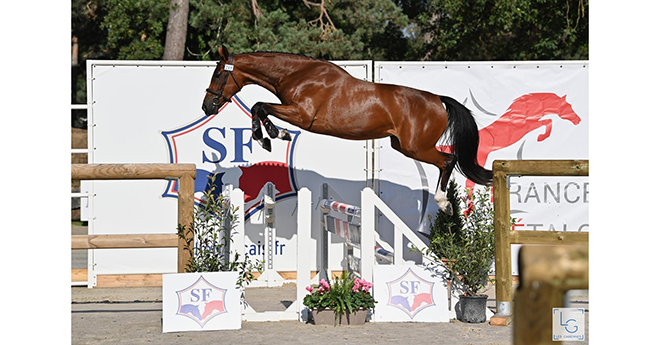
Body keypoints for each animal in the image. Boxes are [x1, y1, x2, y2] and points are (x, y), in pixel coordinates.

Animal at [204, 45, 492, 212]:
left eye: (218, 74)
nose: (207, 107)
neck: (296, 74)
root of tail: (438, 100)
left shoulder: (301, 114)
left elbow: (260, 106)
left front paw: (272, 136)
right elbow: (259, 108)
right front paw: (269, 137)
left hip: (417, 147)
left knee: (448, 160)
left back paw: (444, 203)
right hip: (403, 146)